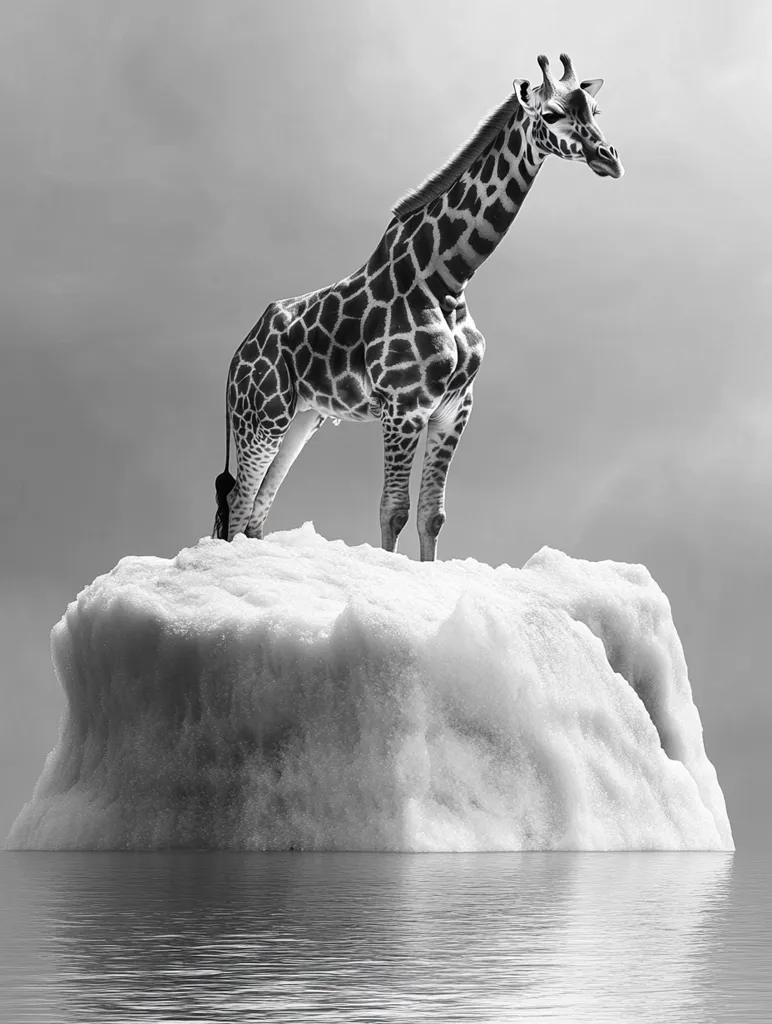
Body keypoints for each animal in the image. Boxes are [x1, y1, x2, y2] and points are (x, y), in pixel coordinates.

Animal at [213, 54, 623, 560]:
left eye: (596, 110)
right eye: (549, 115)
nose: (609, 158)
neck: (450, 278)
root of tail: (237, 354)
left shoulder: (454, 408)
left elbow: (432, 514)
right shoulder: (403, 405)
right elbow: (394, 510)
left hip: (302, 417)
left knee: (258, 506)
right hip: (261, 414)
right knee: (238, 499)